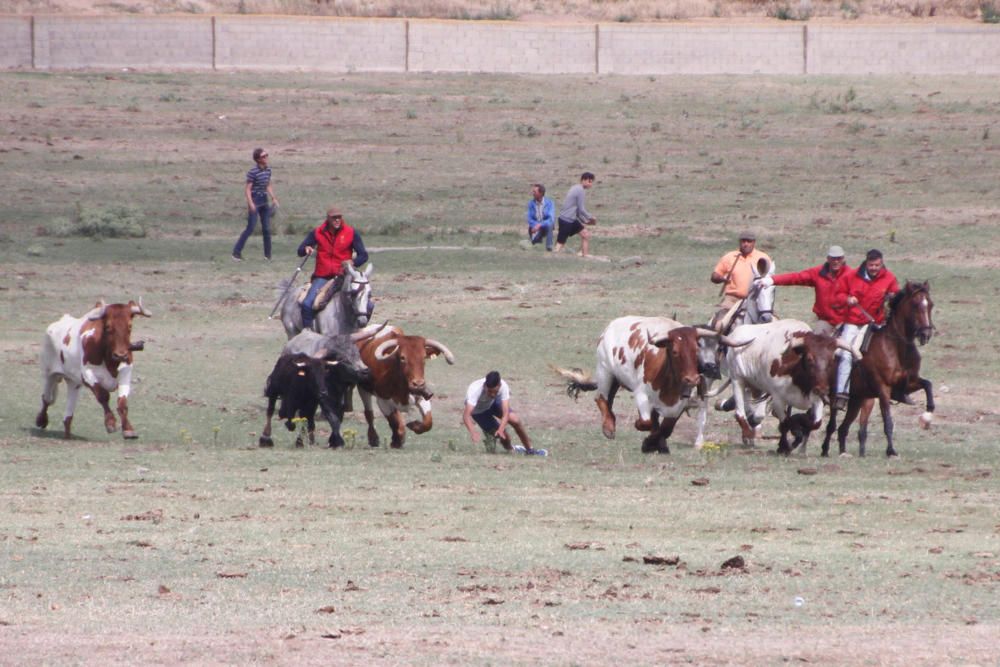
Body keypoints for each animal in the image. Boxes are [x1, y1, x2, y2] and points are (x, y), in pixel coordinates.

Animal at [36, 300, 152, 440]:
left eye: (130, 326)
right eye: (108, 327)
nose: (120, 355)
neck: (109, 359)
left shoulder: (126, 372)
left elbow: (122, 402)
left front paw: (128, 429)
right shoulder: (87, 375)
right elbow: (103, 395)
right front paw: (110, 422)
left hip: (73, 383)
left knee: (67, 416)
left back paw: (67, 434)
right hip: (49, 374)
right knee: (46, 399)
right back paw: (41, 420)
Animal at [556, 318, 736, 454]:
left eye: (695, 350)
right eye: (675, 351)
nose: (692, 379)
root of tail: (611, 326)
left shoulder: (680, 403)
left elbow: (666, 428)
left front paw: (653, 444)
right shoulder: (641, 394)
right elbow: (646, 422)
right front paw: (644, 434)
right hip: (605, 371)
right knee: (602, 398)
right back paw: (608, 427)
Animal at [724, 318, 856, 454]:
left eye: (831, 360)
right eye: (809, 359)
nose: (823, 389)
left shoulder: (816, 398)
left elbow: (815, 423)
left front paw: (796, 432)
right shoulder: (778, 398)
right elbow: (786, 422)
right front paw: (785, 445)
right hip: (737, 380)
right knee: (740, 412)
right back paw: (748, 433)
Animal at [820, 282, 936, 460]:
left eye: (930, 304)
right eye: (915, 304)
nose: (925, 333)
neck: (896, 348)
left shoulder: (907, 385)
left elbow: (927, 384)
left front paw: (929, 411)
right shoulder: (883, 389)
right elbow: (888, 421)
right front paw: (891, 450)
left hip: (856, 400)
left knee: (843, 428)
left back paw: (844, 452)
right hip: (836, 396)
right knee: (832, 424)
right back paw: (825, 450)